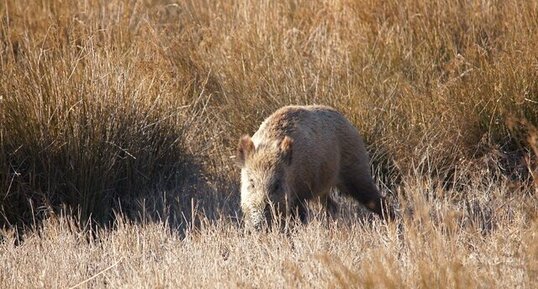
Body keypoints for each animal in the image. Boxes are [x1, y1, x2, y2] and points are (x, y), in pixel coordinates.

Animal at [234, 104, 390, 228]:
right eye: (251, 183)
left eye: (277, 185)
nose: (258, 225)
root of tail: (348, 123)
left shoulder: (299, 195)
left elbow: (298, 218)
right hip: (323, 187)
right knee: (332, 205)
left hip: (356, 170)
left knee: (376, 199)